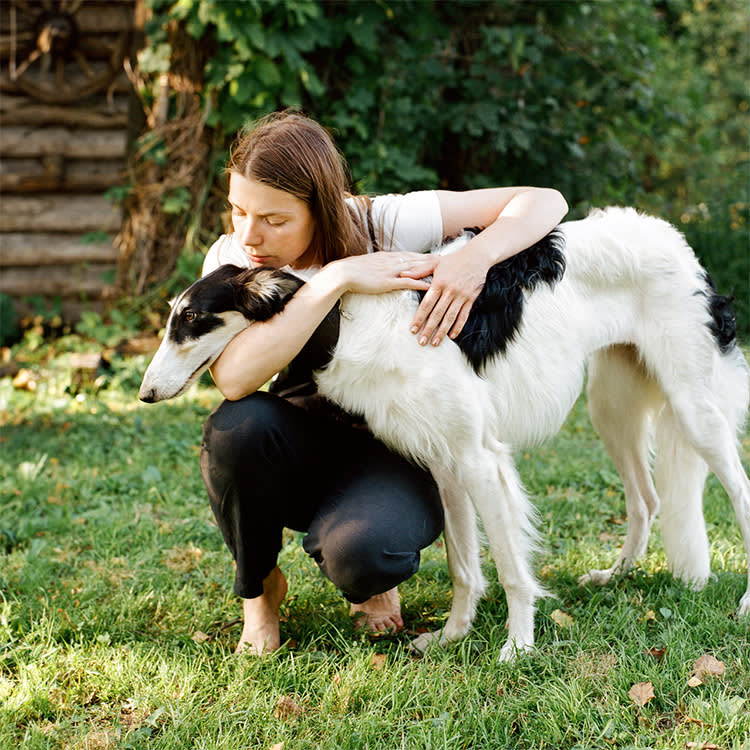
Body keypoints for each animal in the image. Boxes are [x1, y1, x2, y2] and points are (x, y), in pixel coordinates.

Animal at [141, 207, 750, 664]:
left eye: (191, 318)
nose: (145, 393)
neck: (340, 319)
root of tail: (676, 240)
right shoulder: (445, 461)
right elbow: (464, 567)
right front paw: (454, 636)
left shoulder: (480, 459)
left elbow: (511, 570)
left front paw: (518, 647)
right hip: (612, 408)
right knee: (647, 500)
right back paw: (616, 574)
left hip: (694, 408)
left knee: (738, 492)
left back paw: (742, 606)